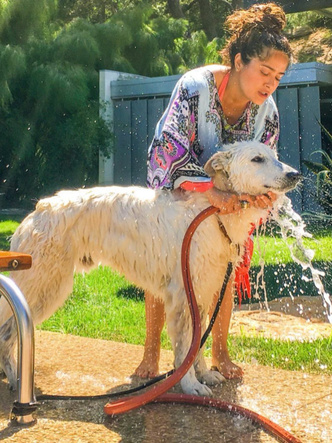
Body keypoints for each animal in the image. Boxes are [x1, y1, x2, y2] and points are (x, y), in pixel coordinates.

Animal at [0, 142, 300, 396]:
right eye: (257, 159)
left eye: (274, 155)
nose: (295, 174)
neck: (211, 213)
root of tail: (36, 212)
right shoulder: (183, 297)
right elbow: (186, 346)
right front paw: (190, 385)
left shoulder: (202, 294)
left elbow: (199, 342)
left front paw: (204, 374)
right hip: (44, 287)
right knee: (7, 333)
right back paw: (17, 381)